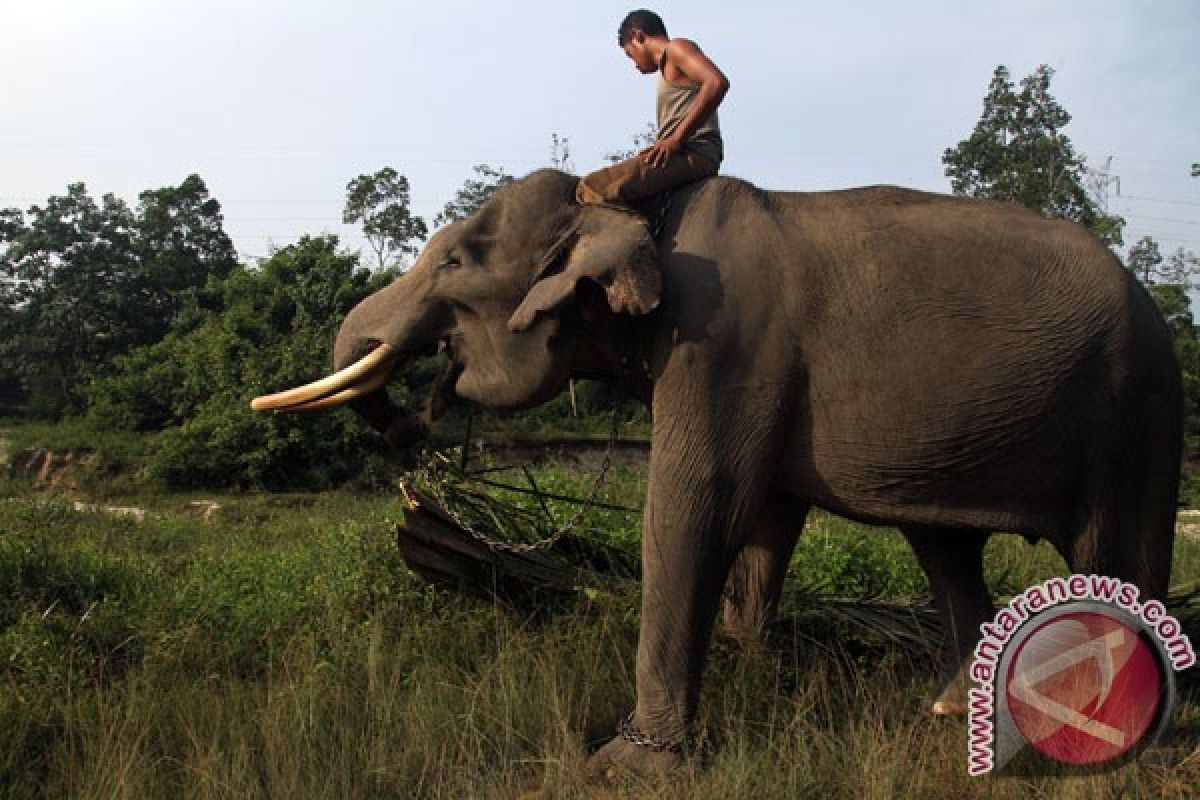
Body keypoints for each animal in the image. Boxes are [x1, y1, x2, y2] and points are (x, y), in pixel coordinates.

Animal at [250, 170, 1180, 777]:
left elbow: (697, 510)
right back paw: (956, 710)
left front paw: (625, 766)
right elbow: (765, 521)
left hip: (1133, 410)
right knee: (944, 548)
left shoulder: (721, 340)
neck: (630, 210)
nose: (428, 408)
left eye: (450, 263)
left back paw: (1115, 740)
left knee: (1112, 551)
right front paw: (749, 666)